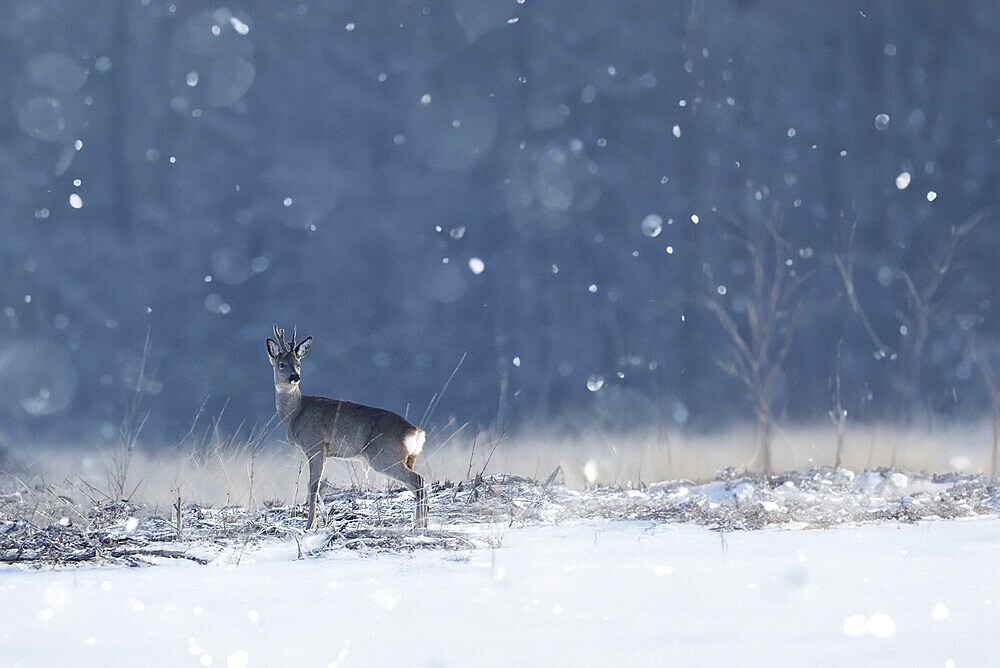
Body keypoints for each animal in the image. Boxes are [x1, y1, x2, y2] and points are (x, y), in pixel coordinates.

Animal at [268, 326, 428, 528]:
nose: (295, 377)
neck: (296, 413)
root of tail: (415, 431)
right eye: (282, 364)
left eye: (298, 363)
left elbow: (313, 485)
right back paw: (422, 523)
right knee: (417, 485)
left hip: (384, 456)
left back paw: (420, 525)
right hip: (407, 458)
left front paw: (310, 525)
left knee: (418, 480)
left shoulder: (316, 446)